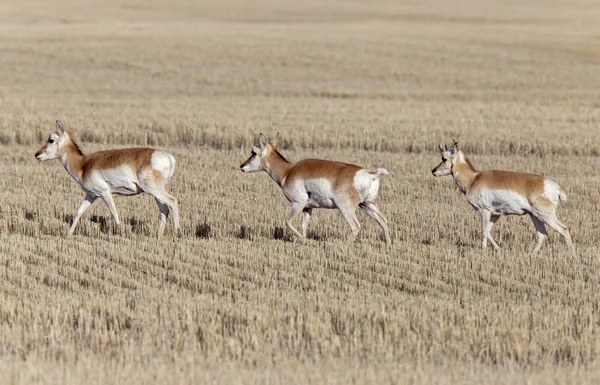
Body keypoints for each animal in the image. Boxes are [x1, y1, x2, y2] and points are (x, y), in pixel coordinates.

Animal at [35, 120, 179, 236]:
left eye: (51, 140)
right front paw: (68, 234)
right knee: (164, 209)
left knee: (172, 201)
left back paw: (177, 231)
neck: (83, 164)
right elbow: (79, 212)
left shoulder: (105, 193)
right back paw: (159, 236)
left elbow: (114, 213)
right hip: (156, 193)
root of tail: (167, 157)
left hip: (154, 190)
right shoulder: (91, 195)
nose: (37, 154)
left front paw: (120, 232)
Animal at [241, 134, 392, 244]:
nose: (241, 166)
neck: (288, 171)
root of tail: (370, 173)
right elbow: (304, 225)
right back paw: (388, 245)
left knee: (356, 227)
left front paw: (305, 240)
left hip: (346, 209)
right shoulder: (308, 208)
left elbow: (288, 221)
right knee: (384, 221)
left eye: (253, 152)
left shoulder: (298, 203)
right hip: (367, 205)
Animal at [428, 140, 576, 254]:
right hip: (535, 216)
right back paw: (531, 254)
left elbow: (484, 231)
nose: (433, 170)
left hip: (545, 215)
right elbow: (488, 232)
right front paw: (499, 249)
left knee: (564, 230)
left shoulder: (484, 211)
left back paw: (572, 255)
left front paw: (483, 251)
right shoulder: (495, 214)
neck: (473, 178)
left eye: (444, 158)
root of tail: (553, 187)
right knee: (542, 235)